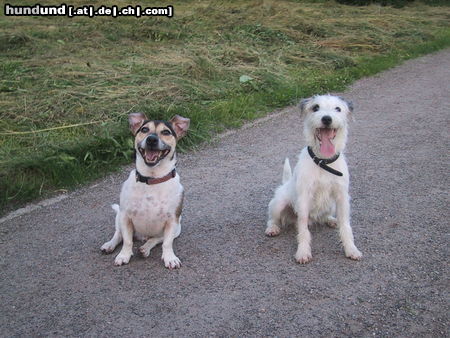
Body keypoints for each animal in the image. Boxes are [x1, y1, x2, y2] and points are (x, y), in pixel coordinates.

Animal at [100, 113, 190, 270]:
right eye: (144, 129)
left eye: (166, 132)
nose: (151, 139)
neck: (152, 179)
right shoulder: (125, 216)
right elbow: (127, 241)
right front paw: (123, 255)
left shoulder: (173, 220)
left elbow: (167, 243)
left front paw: (170, 258)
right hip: (119, 218)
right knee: (118, 234)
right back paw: (109, 245)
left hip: (178, 228)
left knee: (156, 239)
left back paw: (145, 248)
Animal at [266, 93, 364, 262]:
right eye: (315, 107)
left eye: (338, 109)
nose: (326, 119)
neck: (323, 162)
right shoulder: (304, 198)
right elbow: (303, 229)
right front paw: (303, 251)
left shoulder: (342, 197)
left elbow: (346, 226)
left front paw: (351, 249)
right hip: (279, 204)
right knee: (273, 218)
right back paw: (272, 228)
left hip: (331, 205)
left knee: (325, 216)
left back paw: (331, 220)